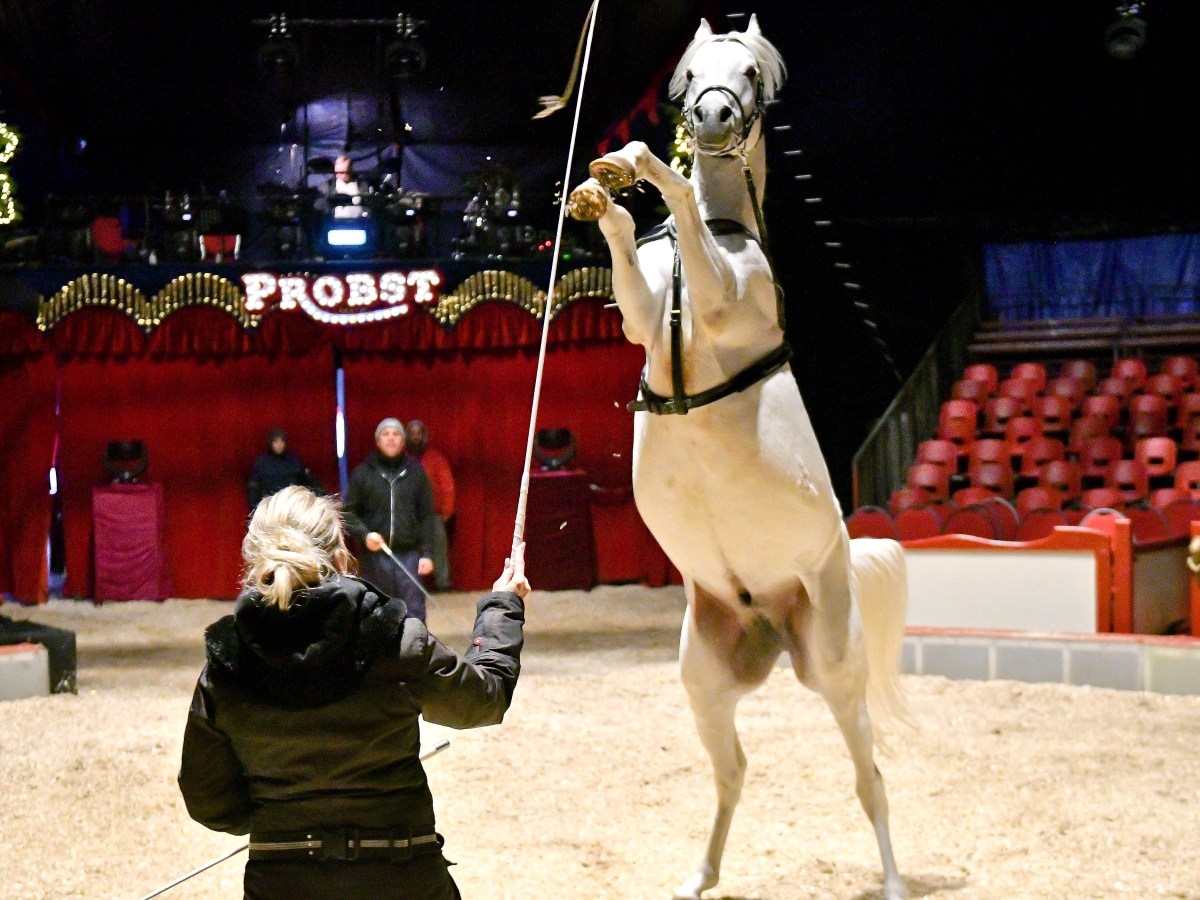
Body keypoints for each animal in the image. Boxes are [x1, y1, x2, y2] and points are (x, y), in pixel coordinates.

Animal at [568, 14, 907, 900]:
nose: (712, 118)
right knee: (734, 771)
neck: (727, 237)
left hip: (836, 670)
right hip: (705, 682)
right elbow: (630, 261)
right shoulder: (645, 320)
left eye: (751, 73)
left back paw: (894, 880)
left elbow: (681, 201)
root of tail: (768, 617)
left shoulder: (722, 301)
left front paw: (645, 167)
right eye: (692, 73)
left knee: (870, 778)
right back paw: (700, 875)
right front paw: (603, 190)